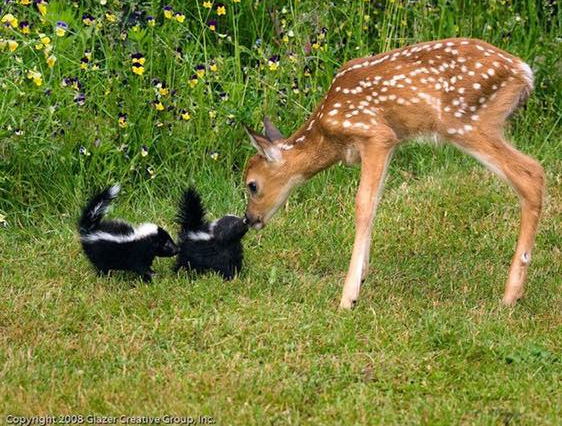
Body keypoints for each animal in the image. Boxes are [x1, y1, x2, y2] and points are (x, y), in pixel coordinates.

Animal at [241, 38, 544, 308]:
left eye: (252, 185)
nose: (249, 219)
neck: (328, 134)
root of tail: (523, 71)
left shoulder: (374, 134)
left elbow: (363, 204)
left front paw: (348, 298)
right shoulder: (390, 143)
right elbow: (375, 202)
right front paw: (362, 277)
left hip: (466, 122)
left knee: (532, 173)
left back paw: (510, 295)